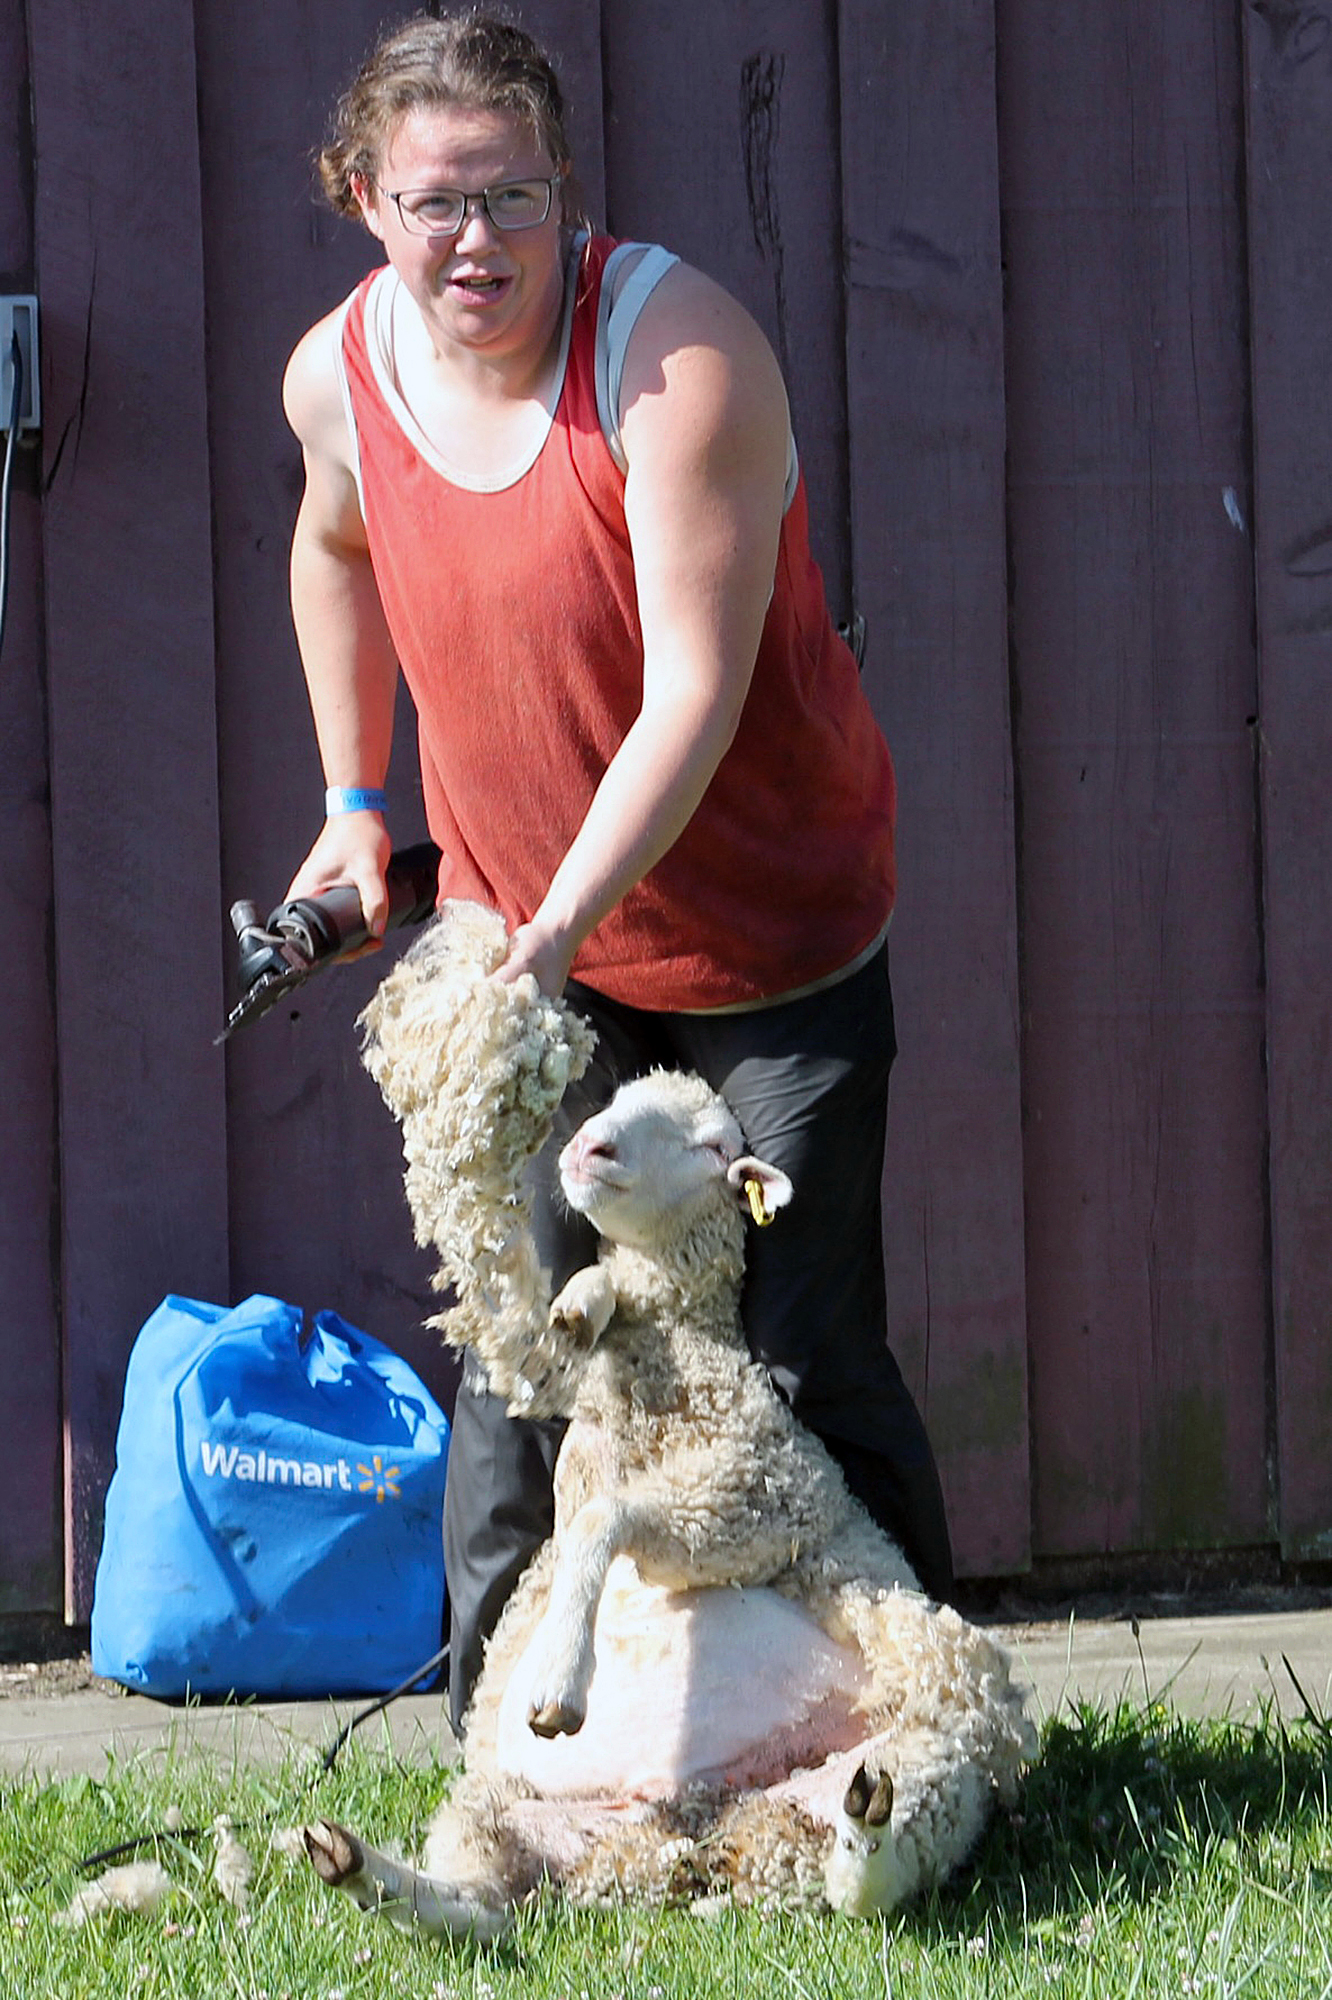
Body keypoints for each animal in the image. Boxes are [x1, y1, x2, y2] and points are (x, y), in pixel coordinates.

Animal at [307, 906, 1036, 1934]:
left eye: (712, 1147)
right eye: (615, 1102)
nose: (589, 1147)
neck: (673, 1365)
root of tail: (690, 1839)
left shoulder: (755, 1496)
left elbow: (604, 1522)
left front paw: (557, 1683)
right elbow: (586, 1422)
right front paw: (580, 1302)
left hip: (934, 1748)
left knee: (869, 1883)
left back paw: (866, 1820)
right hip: (504, 1810)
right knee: (485, 1905)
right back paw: (358, 1869)